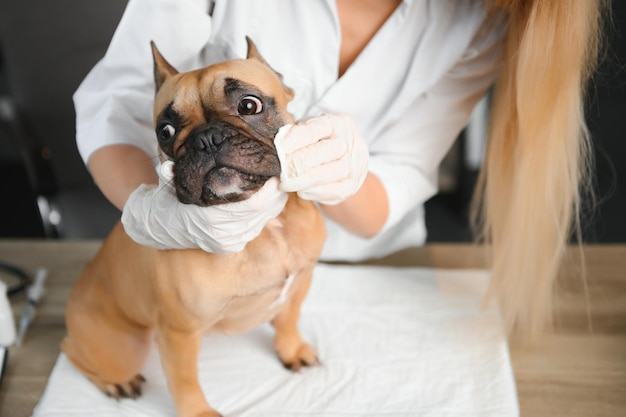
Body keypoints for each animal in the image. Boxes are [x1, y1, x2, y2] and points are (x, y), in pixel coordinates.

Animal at [62, 38, 326, 416]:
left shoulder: (301, 280)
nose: (207, 138)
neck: (263, 228)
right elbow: (185, 380)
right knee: (75, 352)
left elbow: (288, 319)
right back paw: (116, 381)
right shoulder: (179, 333)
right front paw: (198, 411)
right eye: (165, 131)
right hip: (124, 346)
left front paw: (290, 348)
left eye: (249, 105)